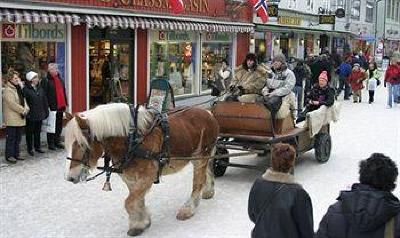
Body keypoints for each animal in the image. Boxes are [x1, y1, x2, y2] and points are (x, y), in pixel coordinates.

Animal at [63, 103, 219, 235]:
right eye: (67, 144)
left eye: (81, 144)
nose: (69, 177)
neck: (133, 139)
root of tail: (208, 113)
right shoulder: (131, 178)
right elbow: (136, 200)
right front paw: (141, 222)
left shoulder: (147, 177)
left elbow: (129, 202)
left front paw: (140, 223)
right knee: (208, 171)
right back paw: (208, 191)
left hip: (200, 156)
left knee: (198, 181)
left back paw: (189, 209)